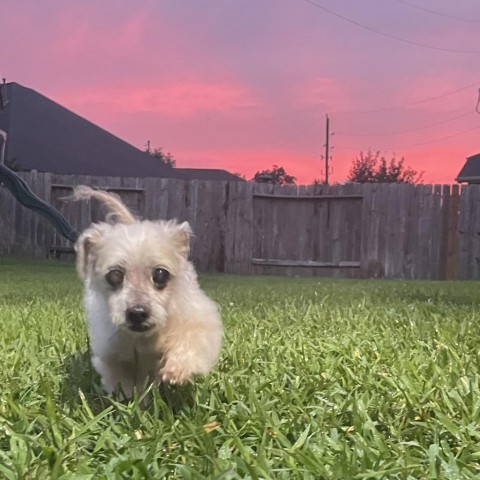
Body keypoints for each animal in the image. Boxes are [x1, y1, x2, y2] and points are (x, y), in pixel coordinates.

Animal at [71, 186, 223, 396]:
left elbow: (191, 339)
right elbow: (124, 380)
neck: (146, 338)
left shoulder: (199, 322)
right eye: (114, 276)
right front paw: (129, 398)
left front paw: (177, 368)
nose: (137, 313)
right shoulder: (112, 352)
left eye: (160, 274)